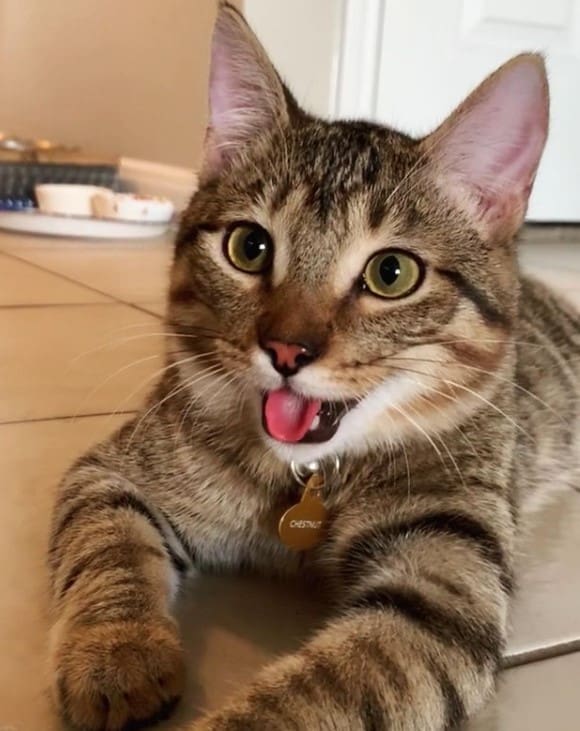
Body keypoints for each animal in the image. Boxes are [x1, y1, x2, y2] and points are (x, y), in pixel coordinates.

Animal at [47, 5, 576, 731]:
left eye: (391, 273)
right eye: (248, 246)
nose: (286, 350)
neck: (304, 479)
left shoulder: (447, 576)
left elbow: (331, 686)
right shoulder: (112, 471)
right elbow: (110, 547)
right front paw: (117, 651)